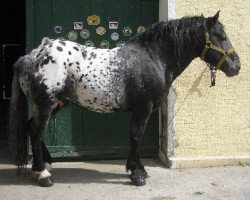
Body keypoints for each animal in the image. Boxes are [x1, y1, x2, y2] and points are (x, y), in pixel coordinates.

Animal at [8, 11, 240, 187]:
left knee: (32, 127)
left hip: (56, 104)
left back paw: (44, 165)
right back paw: (43, 175)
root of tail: (28, 57)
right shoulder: (143, 107)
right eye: (220, 35)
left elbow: (135, 136)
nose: (236, 66)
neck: (153, 57)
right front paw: (136, 174)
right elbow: (136, 136)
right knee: (36, 132)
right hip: (46, 105)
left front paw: (138, 170)